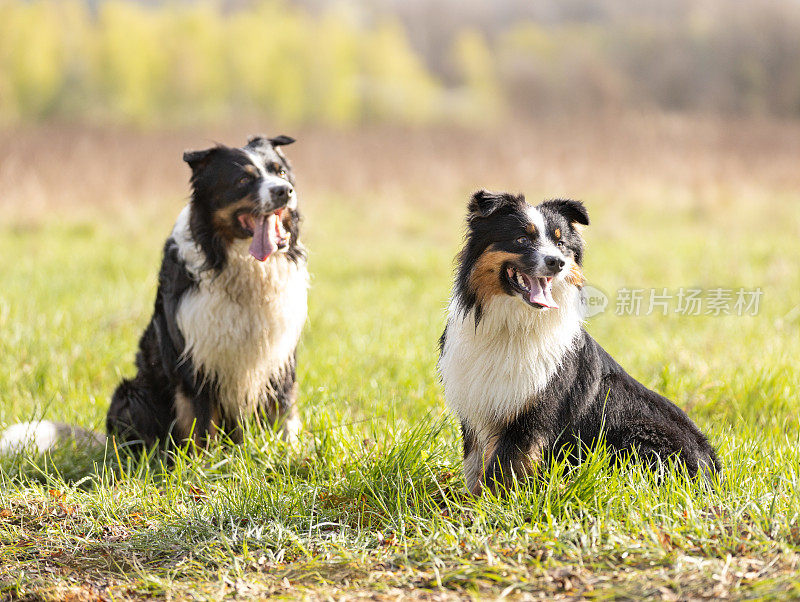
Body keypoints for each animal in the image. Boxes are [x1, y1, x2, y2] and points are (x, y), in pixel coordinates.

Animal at [0, 134, 306, 452]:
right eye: (243, 179)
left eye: (280, 172)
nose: (285, 191)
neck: (238, 264)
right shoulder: (196, 362)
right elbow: (202, 428)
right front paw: (207, 463)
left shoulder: (279, 357)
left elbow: (283, 416)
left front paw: (286, 453)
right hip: (132, 393)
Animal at [438, 191, 720, 492]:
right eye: (522, 239)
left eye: (561, 244)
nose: (557, 262)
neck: (514, 324)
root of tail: (712, 466)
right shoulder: (476, 406)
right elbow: (475, 467)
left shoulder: (531, 417)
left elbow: (500, 472)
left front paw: (487, 504)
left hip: (638, 435)